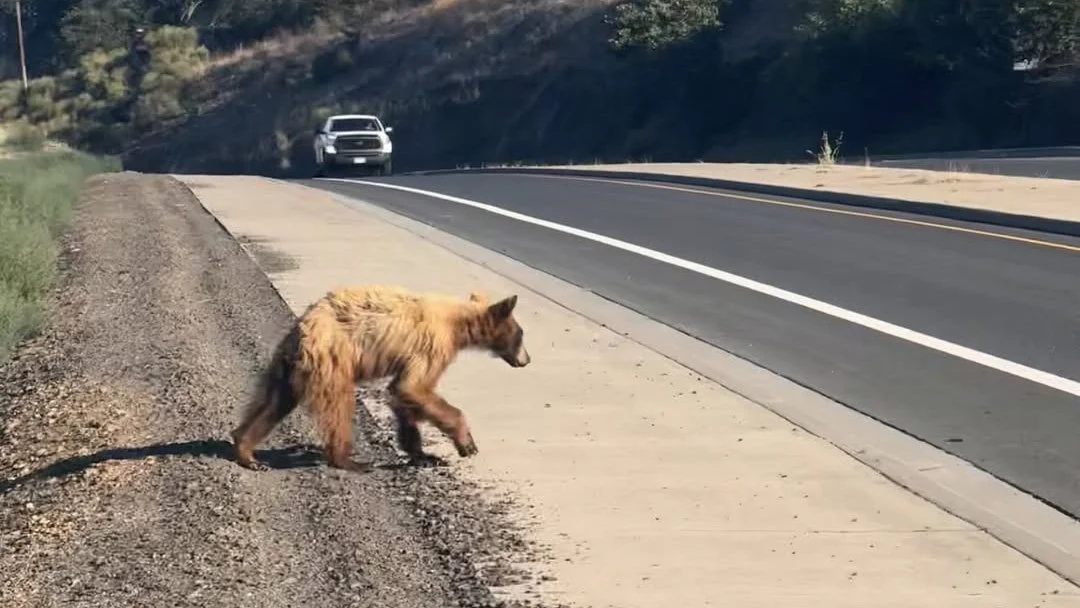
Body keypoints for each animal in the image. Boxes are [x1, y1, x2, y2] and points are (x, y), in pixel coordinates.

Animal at [230, 284, 531, 472]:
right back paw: (350, 461)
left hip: (287, 368)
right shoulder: (432, 346)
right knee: (338, 408)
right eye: (521, 333)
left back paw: (246, 450)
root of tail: (302, 330)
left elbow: (402, 395)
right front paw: (466, 443)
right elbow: (414, 387)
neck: (458, 324)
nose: (526, 359)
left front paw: (423, 455)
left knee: (273, 403)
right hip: (333, 361)